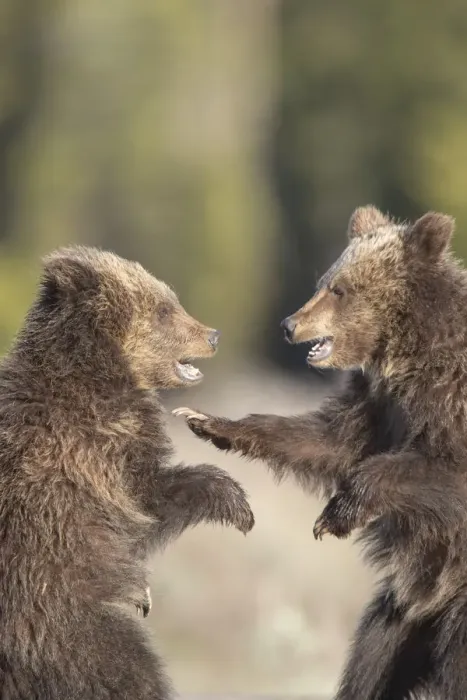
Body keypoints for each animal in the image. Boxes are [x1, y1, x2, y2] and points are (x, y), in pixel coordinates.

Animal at [0, 246, 254, 699]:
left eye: (171, 300)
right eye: (164, 309)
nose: (213, 335)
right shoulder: (93, 454)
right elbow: (147, 502)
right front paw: (237, 505)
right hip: (62, 622)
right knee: (127, 671)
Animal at [173, 206, 467, 700]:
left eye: (339, 288)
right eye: (325, 280)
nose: (289, 324)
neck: (408, 352)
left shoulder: (449, 399)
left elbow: (427, 470)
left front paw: (337, 513)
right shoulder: (379, 405)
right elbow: (329, 441)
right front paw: (207, 420)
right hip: (402, 616)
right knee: (371, 661)